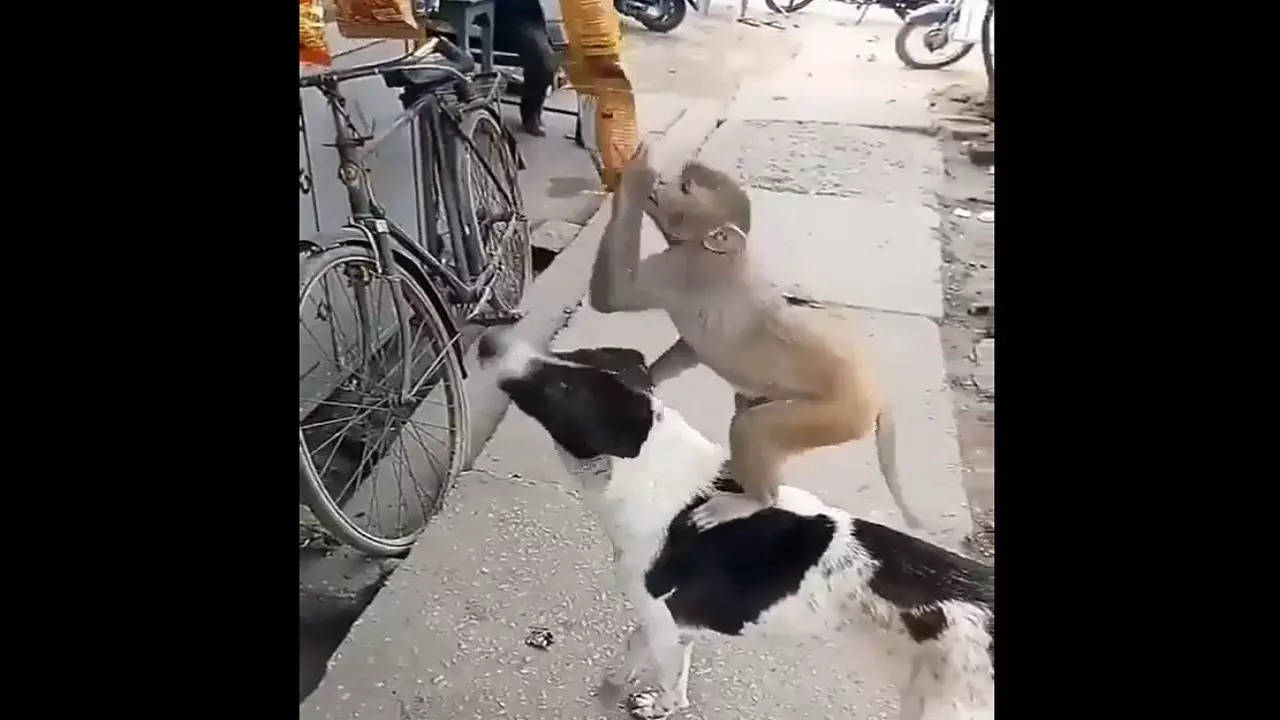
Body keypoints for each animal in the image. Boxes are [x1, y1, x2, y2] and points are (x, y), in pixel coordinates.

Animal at [476, 333, 993, 717]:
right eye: (576, 354)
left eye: (564, 389)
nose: (486, 338)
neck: (656, 474)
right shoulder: (664, 622)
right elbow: (633, 649)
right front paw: (618, 681)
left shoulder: (667, 631)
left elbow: (671, 692)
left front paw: (651, 704)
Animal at [588, 146, 921, 527]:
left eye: (685, 187)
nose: (662, 182)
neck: (718, 252)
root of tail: (875, 393)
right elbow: (689, 349)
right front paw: (646, 375)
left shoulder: (683, 270)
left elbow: (614, 295)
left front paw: (636, 176)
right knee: (747, 410)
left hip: (838, 413)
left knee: (753, 427)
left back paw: (758, 499)